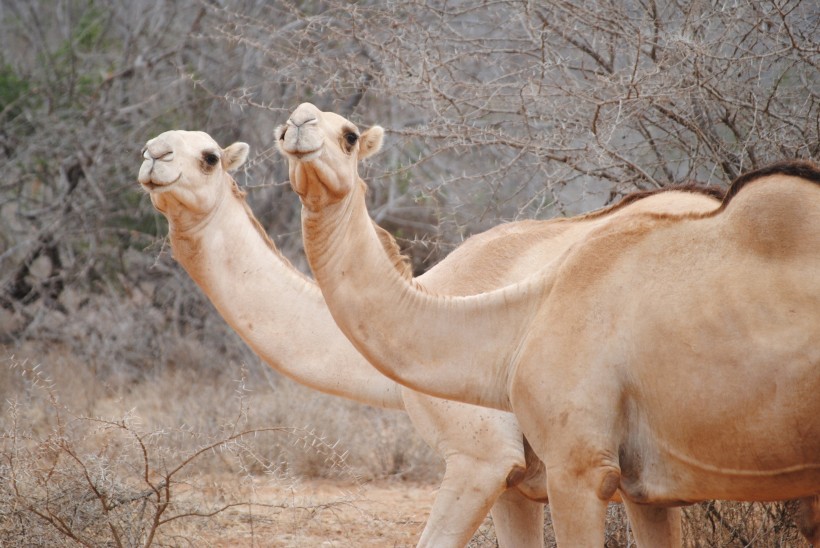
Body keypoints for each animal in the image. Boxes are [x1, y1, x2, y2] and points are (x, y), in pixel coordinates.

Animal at [276, 104, 820, 548]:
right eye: (281, 129)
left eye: (349, 135)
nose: (299, 124)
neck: (522, 318)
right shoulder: (642, 490)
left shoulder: (562, 464)